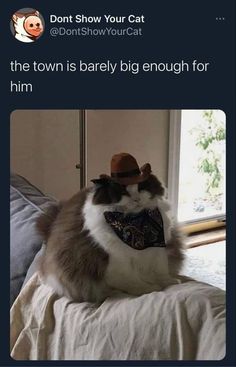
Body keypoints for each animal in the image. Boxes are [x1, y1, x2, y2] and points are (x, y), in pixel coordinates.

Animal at [37, 165, 184, 304]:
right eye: (123, 191)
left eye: (141, 187)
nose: (136, 199)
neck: (137, 223)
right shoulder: (117, 260)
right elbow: (132, 280)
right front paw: (149, 289)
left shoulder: (157, 250)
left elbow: (161, 270)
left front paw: (169, 282)